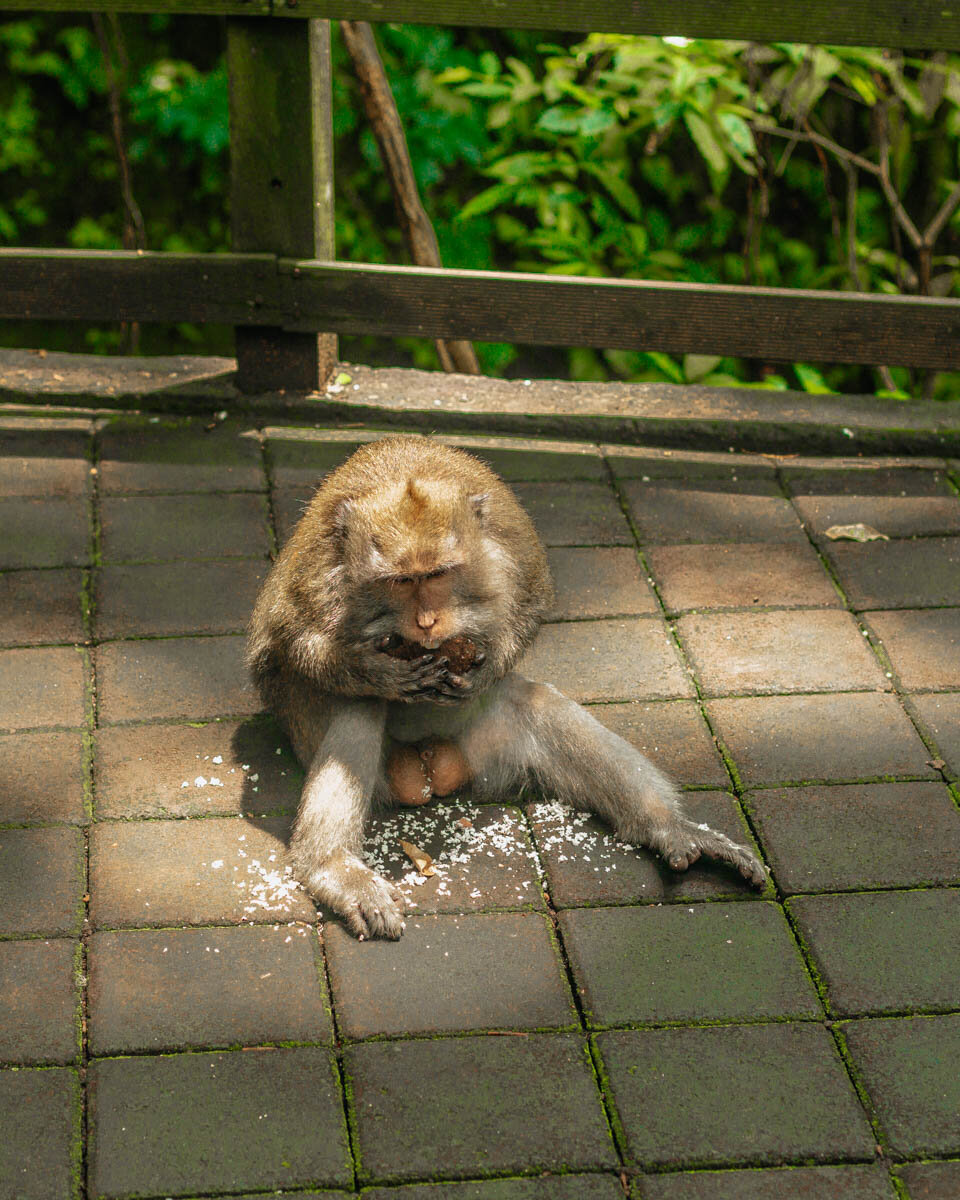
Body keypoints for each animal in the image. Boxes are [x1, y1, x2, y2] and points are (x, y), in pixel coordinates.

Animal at [246, 436, 763, 940]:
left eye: (438, 574)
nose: (427, 621)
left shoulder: (511, 544)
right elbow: (290, 641)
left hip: (485, 748)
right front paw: (377, 671)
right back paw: (332, 868)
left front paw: (486, 662)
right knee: (360, 710)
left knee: (536, 703)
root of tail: (430, 763)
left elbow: (532, 604)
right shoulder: (316, 572)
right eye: (401, 580)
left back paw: (670, 827)